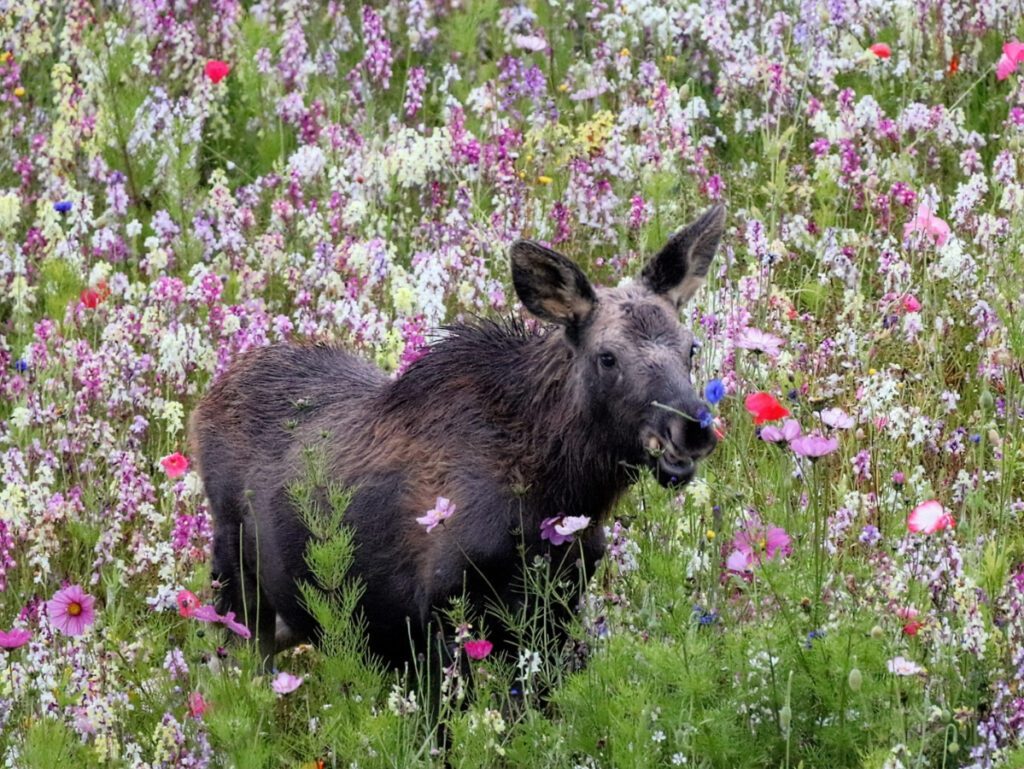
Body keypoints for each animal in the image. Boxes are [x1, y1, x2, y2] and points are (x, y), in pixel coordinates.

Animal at [188, 204, 724, 667]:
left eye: (691, 347)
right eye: (607, 357)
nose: (693, 427)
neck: (565, 490)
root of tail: (207, 399)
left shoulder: (559, 601)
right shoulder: (445, 608)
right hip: (233, 576)